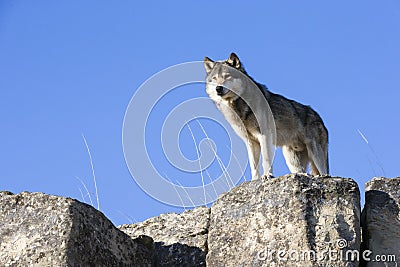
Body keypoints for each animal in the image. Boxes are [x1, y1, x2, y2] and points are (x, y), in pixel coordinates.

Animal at [205, 52, 330, 180]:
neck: (241, 108)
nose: (218, 88)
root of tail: (319, 118)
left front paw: (267, 175)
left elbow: (266, 159)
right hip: (292, 161)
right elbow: (253, 165)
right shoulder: (250, 142)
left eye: (227, 76)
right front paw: (255, 180)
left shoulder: (264, 135)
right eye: (214, 78)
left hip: (316, 155)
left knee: (325, 173)